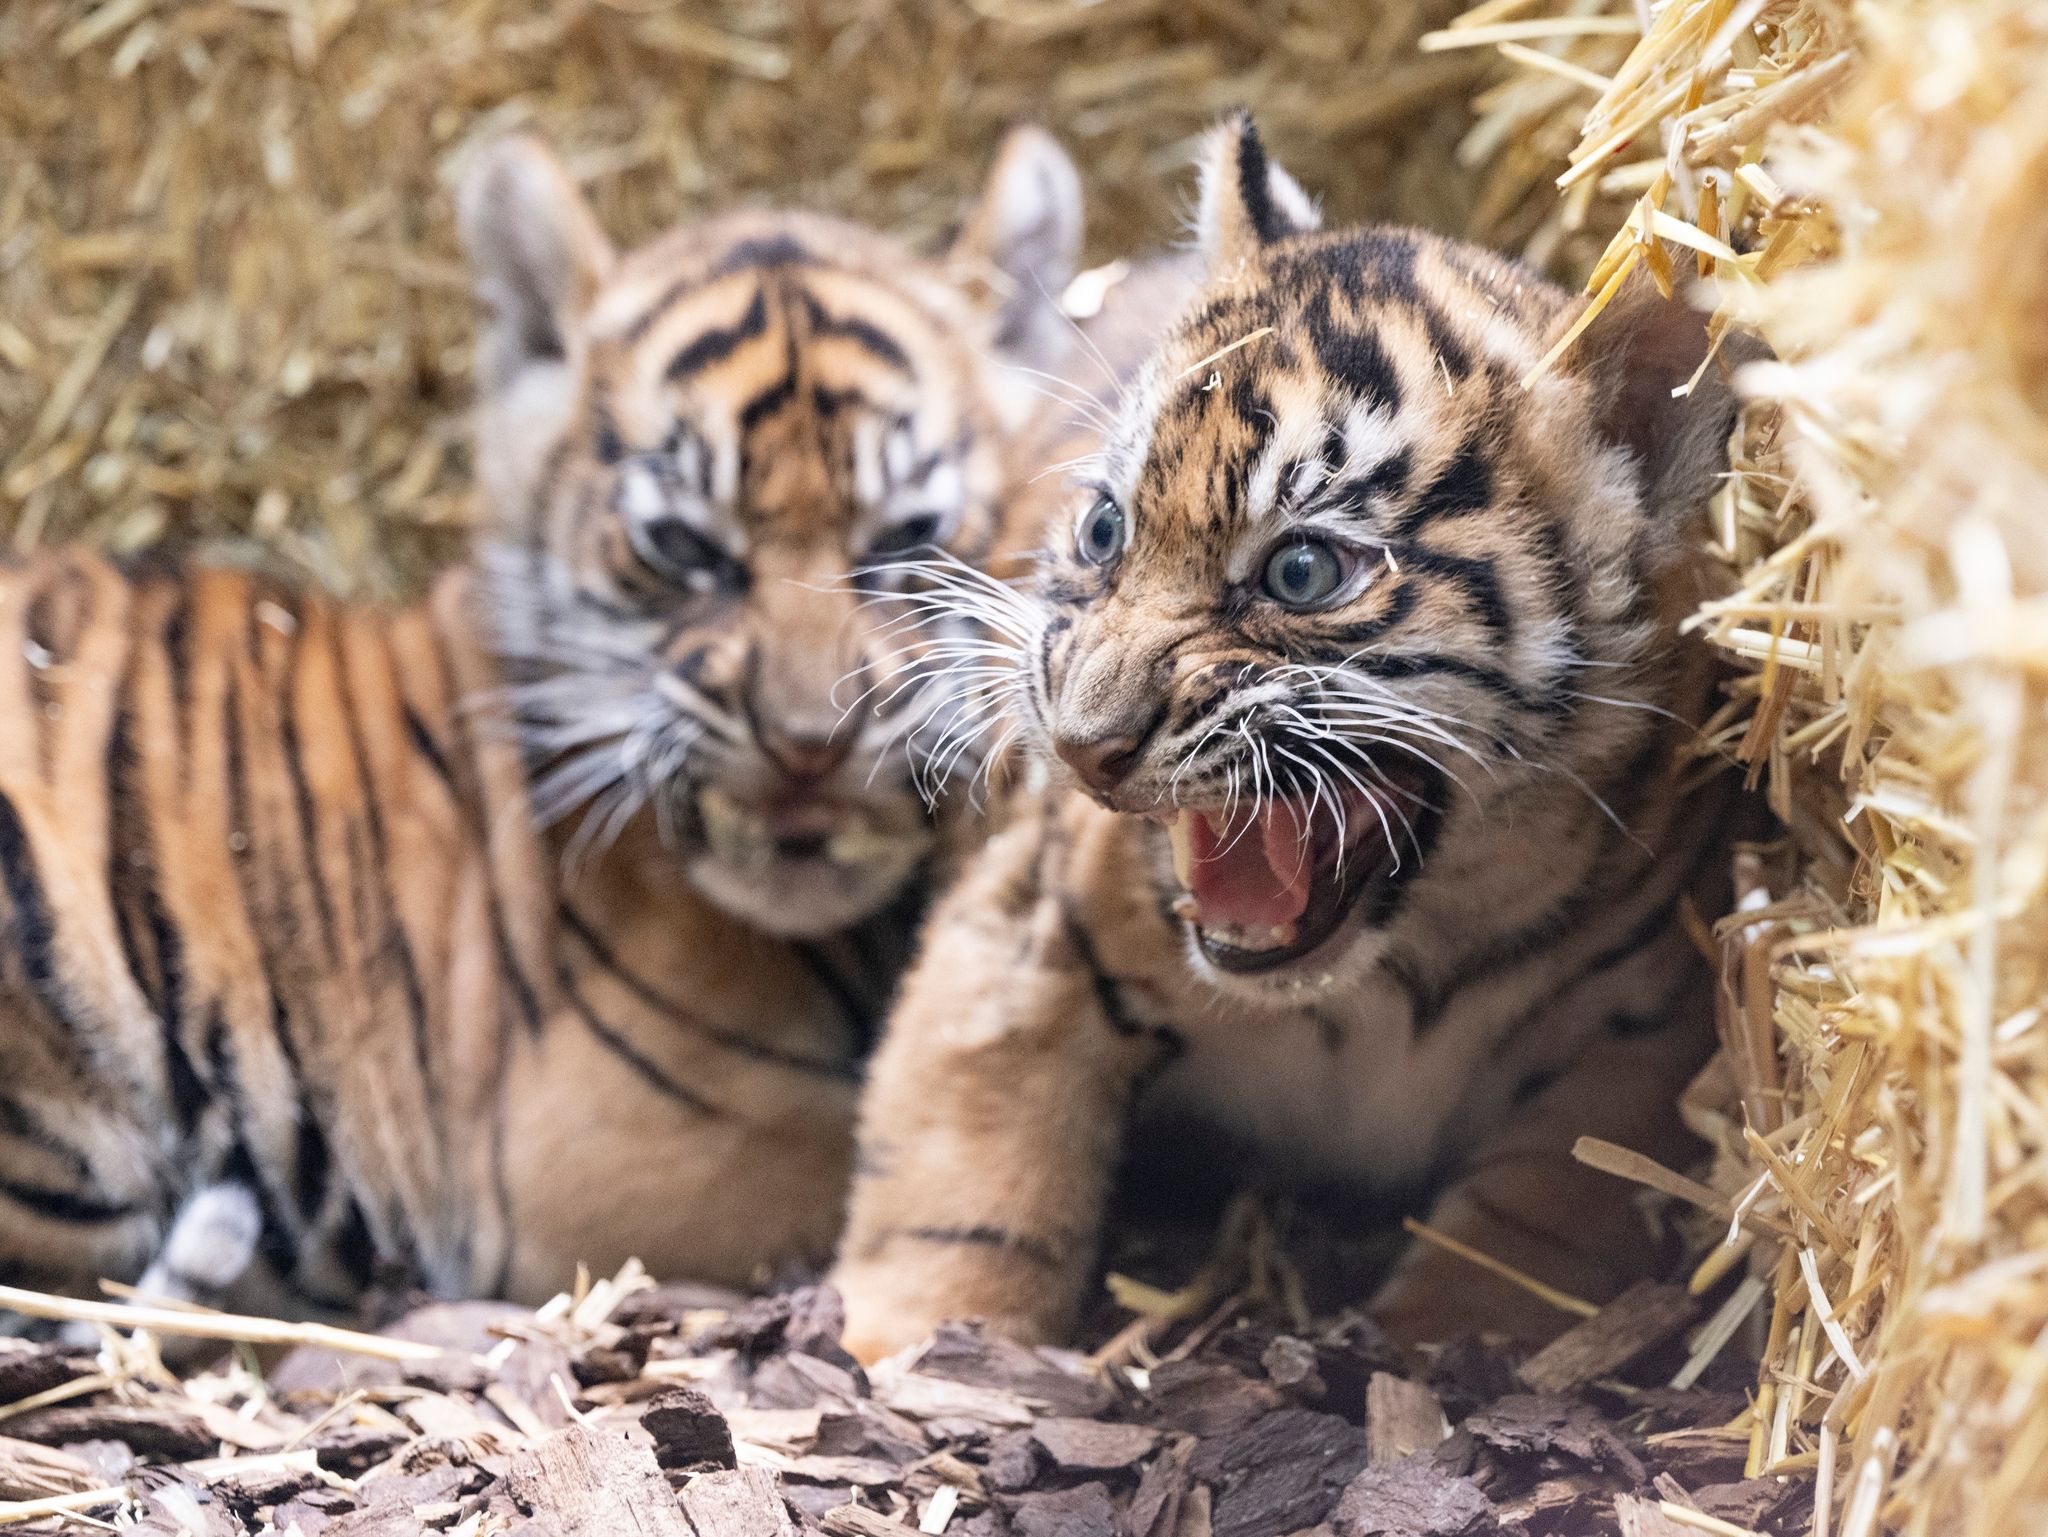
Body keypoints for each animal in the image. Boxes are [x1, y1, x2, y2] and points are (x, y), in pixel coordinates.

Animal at [827, 113, 1760, 1360]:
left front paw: (1439, 1344)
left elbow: (1535, 1220)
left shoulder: (1635, 1029)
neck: (1385, 974)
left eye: (1301, 571)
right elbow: (969, 1157)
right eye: (1105, 528)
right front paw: (910, 1341)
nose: (1078, 746)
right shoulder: (1027, 926)